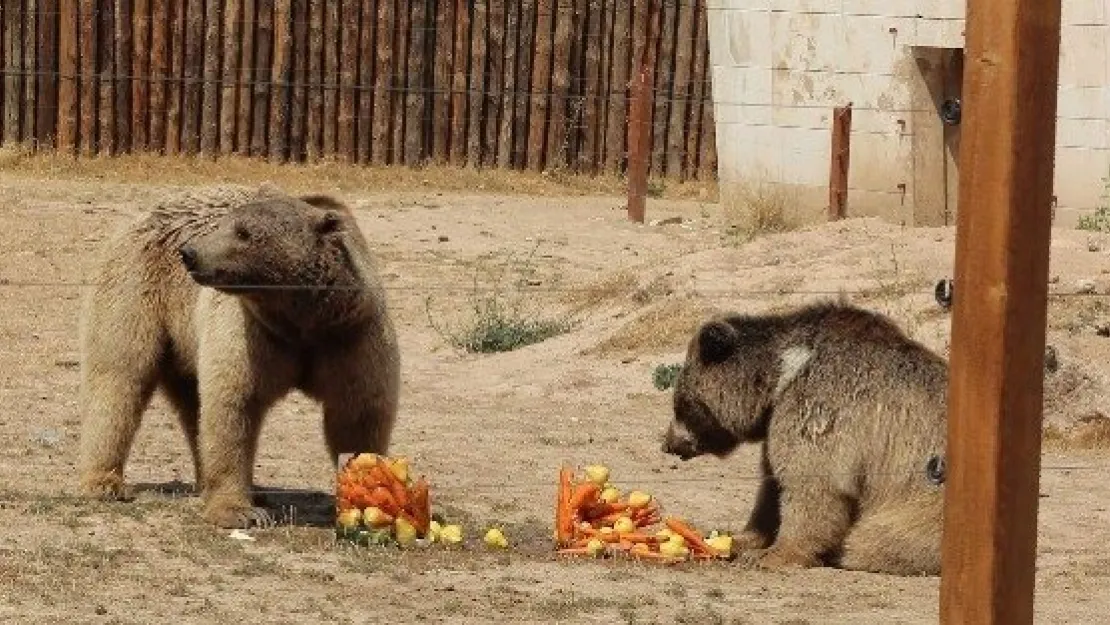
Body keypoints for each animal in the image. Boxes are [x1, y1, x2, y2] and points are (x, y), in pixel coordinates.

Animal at [78, 184, 401, 528]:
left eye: (244, 232)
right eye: (224, 224)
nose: (190, 254)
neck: (301, 319)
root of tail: (143, 215)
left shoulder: (350, 337)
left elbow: (358, 416)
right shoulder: (251, 333)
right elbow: (233, 407)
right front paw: (238, 511)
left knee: (190, 402)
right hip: (137, 291)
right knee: (119, 378)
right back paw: (104, 482)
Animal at [657, 301, 945, 577]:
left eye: (682, 404)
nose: (669, 443)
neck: (783, 375)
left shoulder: (819, 406)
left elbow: (810, 484)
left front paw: (773, 555)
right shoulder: (778, 420)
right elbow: (772, 487)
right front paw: (742, 539)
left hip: (919, 502)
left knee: (876, 538)